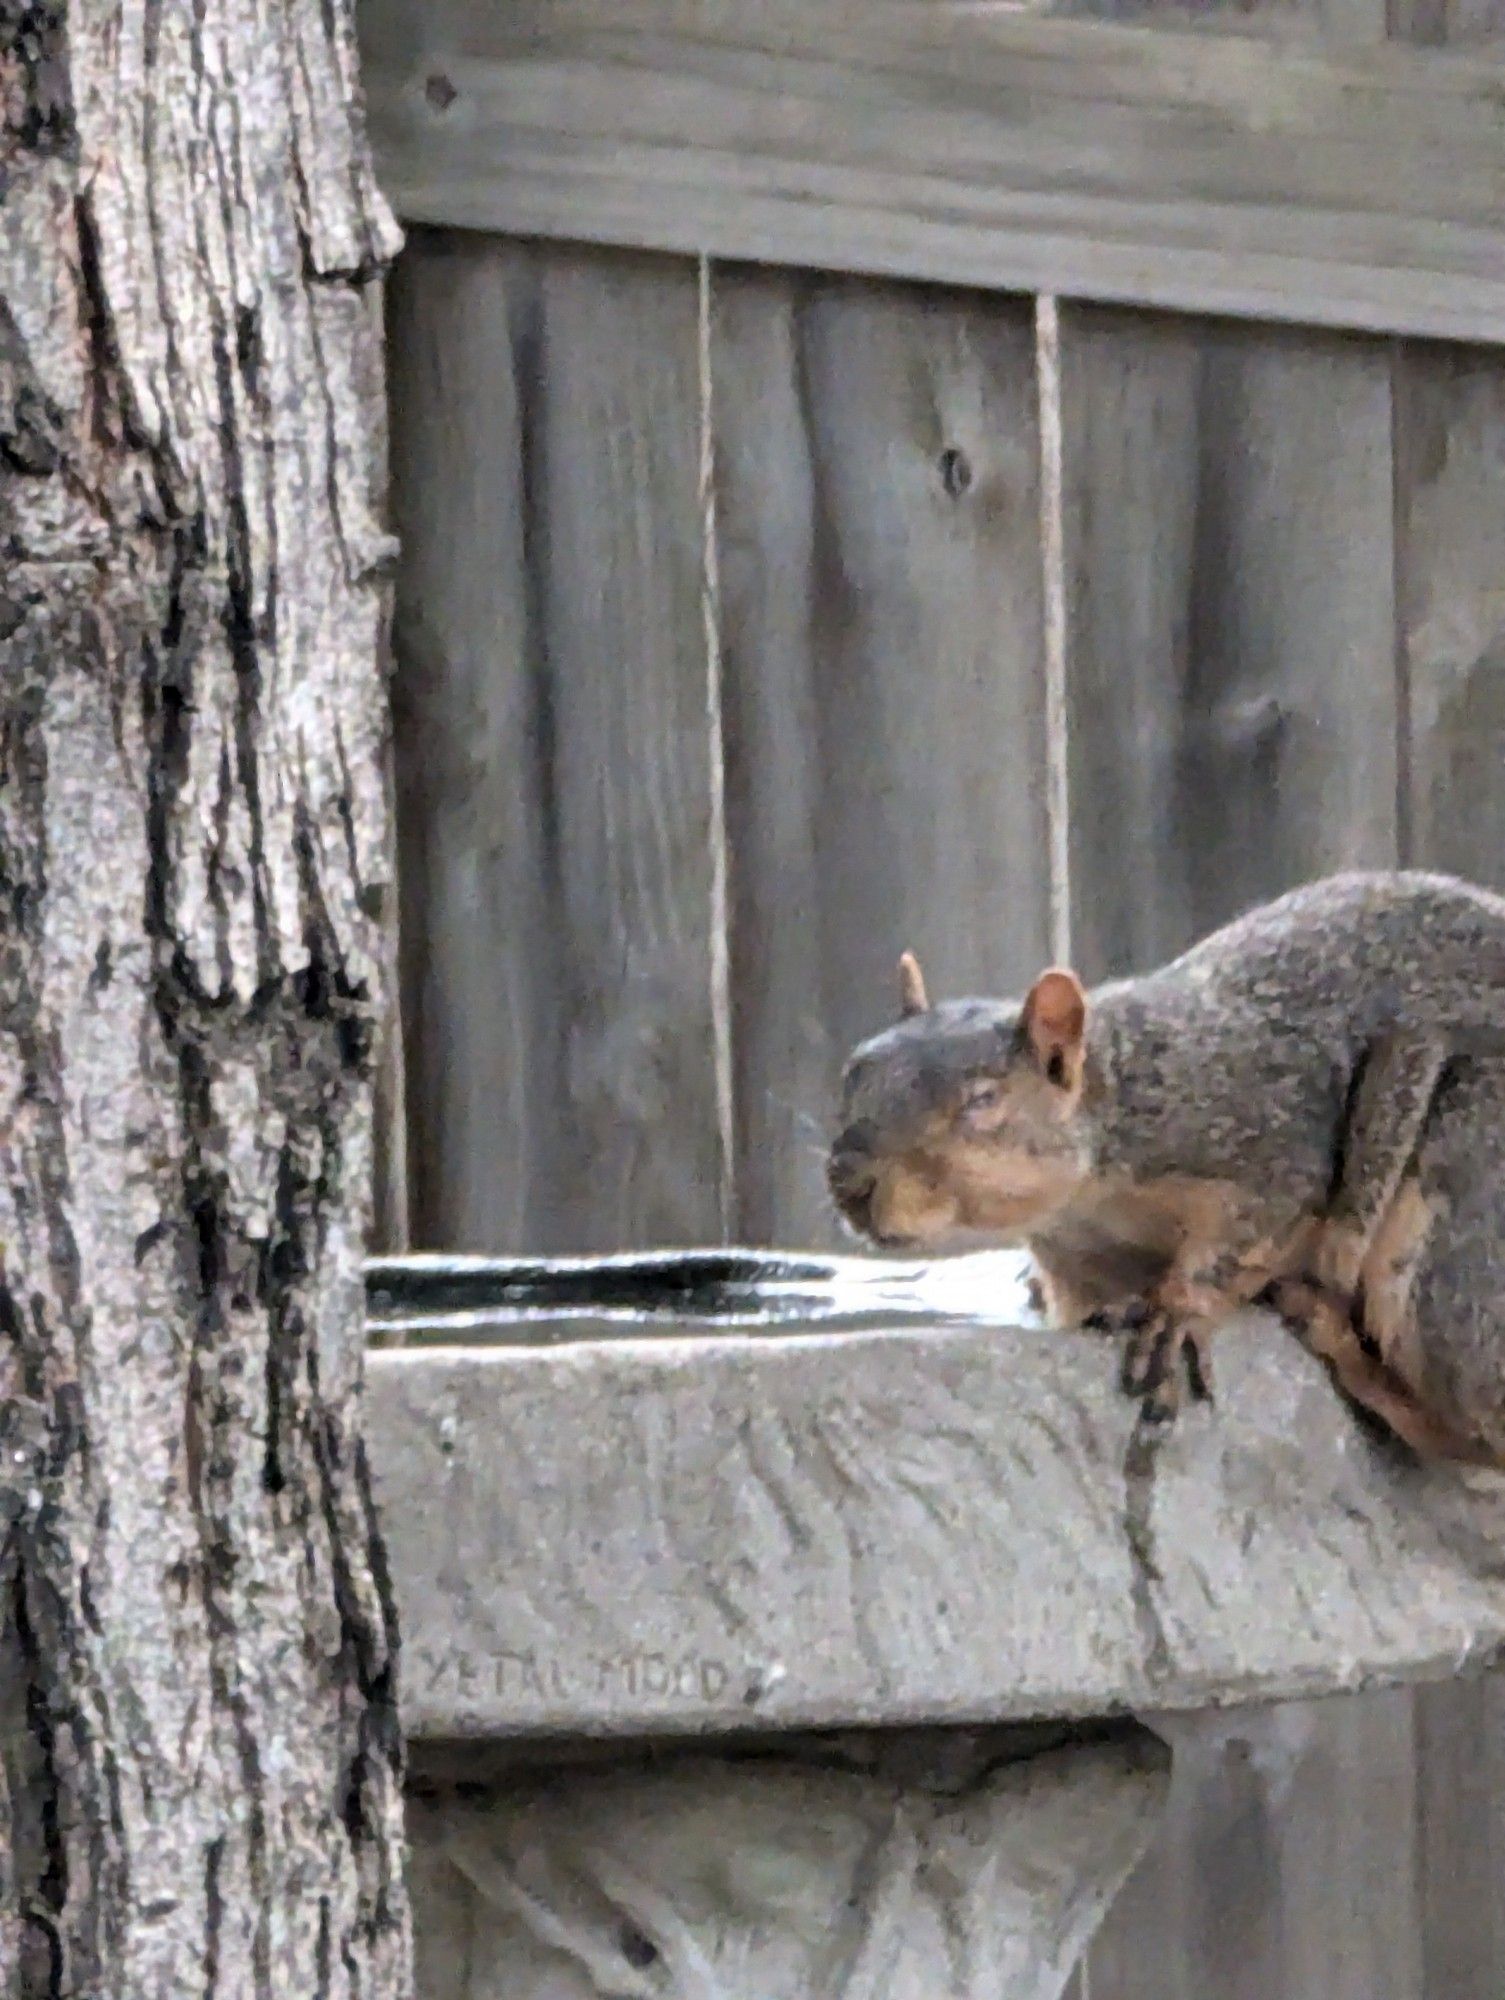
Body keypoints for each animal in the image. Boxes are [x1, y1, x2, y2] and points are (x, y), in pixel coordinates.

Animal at [828, 876, 1505, 1472]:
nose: (849, 1184)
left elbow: (1242, 1242)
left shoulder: (1266, 1143)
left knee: (1474, 1437)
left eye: (983, 1100)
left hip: (1447, 1225)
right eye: (852, 1073)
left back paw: (1334, 1335)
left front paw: (1178, 1312)